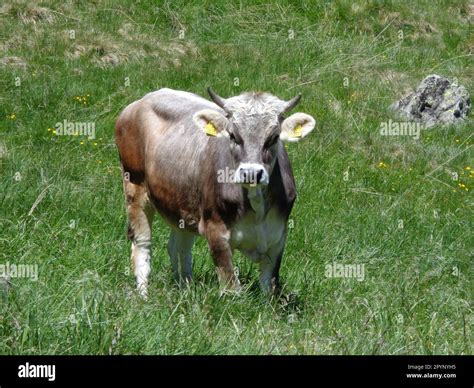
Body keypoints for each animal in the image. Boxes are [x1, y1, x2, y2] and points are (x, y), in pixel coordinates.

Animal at [114, 88, 314, 298]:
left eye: (274, 137)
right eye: (233, 135)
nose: (251, 173)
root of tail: (141, 101)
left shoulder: (278, 237)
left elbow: (270, 287)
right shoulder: (216, 230)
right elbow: (231, 287)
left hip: (182, 206)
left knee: (179, 247)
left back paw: (185, 287)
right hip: (134, 186)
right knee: (142, 244)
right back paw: (144, 295)